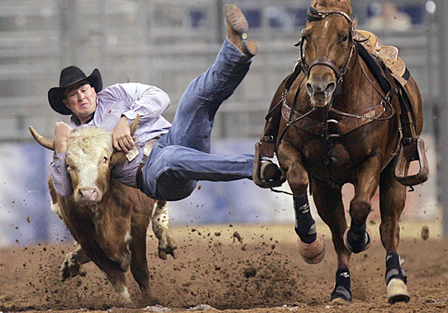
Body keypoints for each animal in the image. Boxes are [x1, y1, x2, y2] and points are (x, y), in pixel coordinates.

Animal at [262, 0, 428, 304]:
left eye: (343, 37)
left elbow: (361, 205)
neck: (332, 112)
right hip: (327, 189)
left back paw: (396, 281)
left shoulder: (373, 160)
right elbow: (298, 180)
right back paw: (341, 288)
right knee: (338, 235)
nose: (319, 87)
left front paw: (360, 237)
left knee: (389, 228)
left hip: (393, 176)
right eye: (307, 36)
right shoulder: (290, 151)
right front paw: (308, 235)